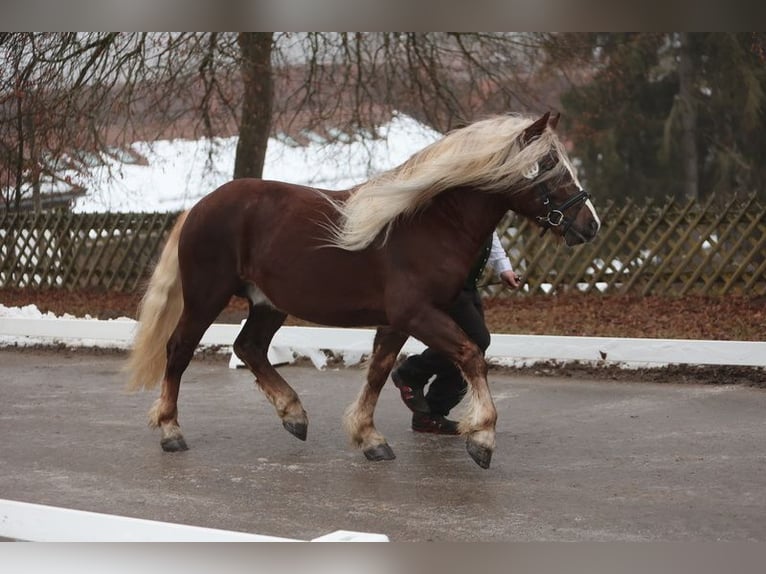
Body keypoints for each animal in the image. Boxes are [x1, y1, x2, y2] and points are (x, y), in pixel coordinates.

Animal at [126, 111, 600, 469]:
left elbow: (379, 371)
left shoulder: (398, 321)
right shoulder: (415, 313)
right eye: (549, 167)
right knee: (180, 349)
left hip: (268, 303)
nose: (590, 225)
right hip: (206, 296)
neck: (429, 225)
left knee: (249, 347)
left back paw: (294, 415)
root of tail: (201, 205)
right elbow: (470, 354)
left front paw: (370, 438)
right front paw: (481, 438)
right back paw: (170, 430)